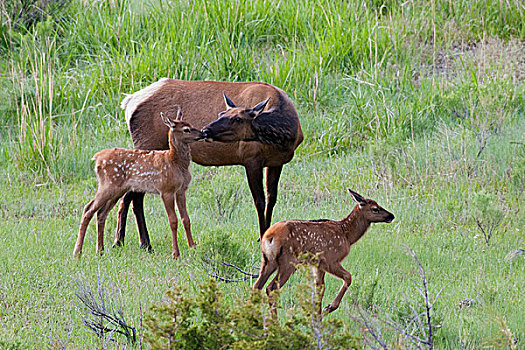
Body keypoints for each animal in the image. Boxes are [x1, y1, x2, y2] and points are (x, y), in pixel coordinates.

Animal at [73, 108, 203, 258]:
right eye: (186, 129)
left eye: (191, 124)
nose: (203, 133)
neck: (175, 163)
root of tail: (97, 158)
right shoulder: (166, 189)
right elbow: (173, 220)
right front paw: (175, 254)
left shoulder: (181, 190)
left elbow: (185, 219)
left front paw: (193, 249)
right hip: (108, 185)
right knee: (88, 209)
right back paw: (77, 252)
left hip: (117, 190)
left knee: (101, 213)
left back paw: (100, 251)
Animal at [114, 79, 302, 249]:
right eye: (221, 114)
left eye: (237, 119)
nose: (205, 130)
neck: (285, 137)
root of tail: (128, 102)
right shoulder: (251, 159)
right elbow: (259, 200)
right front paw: (262, 236)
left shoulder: (276, 162)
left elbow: (272, 198)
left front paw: (266, 234)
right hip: (147, 145)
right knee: (134, 195)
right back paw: (137, 242)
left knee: (131, 195)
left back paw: (128, 241)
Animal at [253, 190, 392, 316]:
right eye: (375, 208)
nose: (391, 216)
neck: (347, 235)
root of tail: (269, 237)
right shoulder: (330, 259)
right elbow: (348, 277)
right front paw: (329, 307)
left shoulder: (317, 264)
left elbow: (319, 289)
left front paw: (317, 317)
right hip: (288, 261)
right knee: (271, 288)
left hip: (267, 260)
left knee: (257, 285)